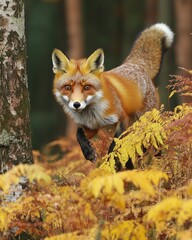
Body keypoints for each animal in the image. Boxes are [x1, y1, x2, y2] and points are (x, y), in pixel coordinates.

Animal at [51, 23, 174, 161]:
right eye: (67, 88)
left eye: (87, 87)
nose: (76, 104)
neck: (93, 115)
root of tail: (135, 65)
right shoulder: (90, 127)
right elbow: (79, 135)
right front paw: (88, 152)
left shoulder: (122, 119)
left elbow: (116, 143)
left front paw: (112, 157)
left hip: (145, 121)